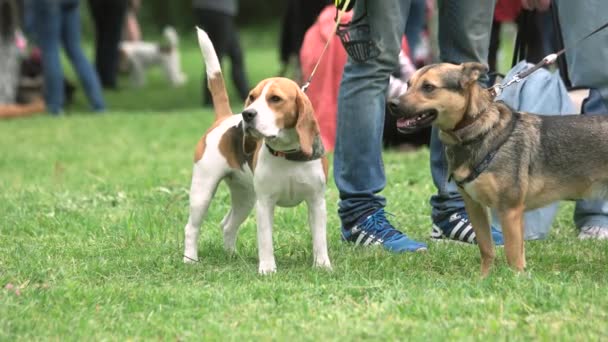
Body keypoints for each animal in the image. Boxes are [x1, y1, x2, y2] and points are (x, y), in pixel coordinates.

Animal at [392, 61, 608, 276]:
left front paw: (516, 279)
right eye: (408, 84)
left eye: (428, 87)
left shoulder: (509, 209)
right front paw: (484, 278)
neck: (478, 131)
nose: (392, 104)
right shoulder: (475, 207)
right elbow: (487, 249)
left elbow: (513, 254)